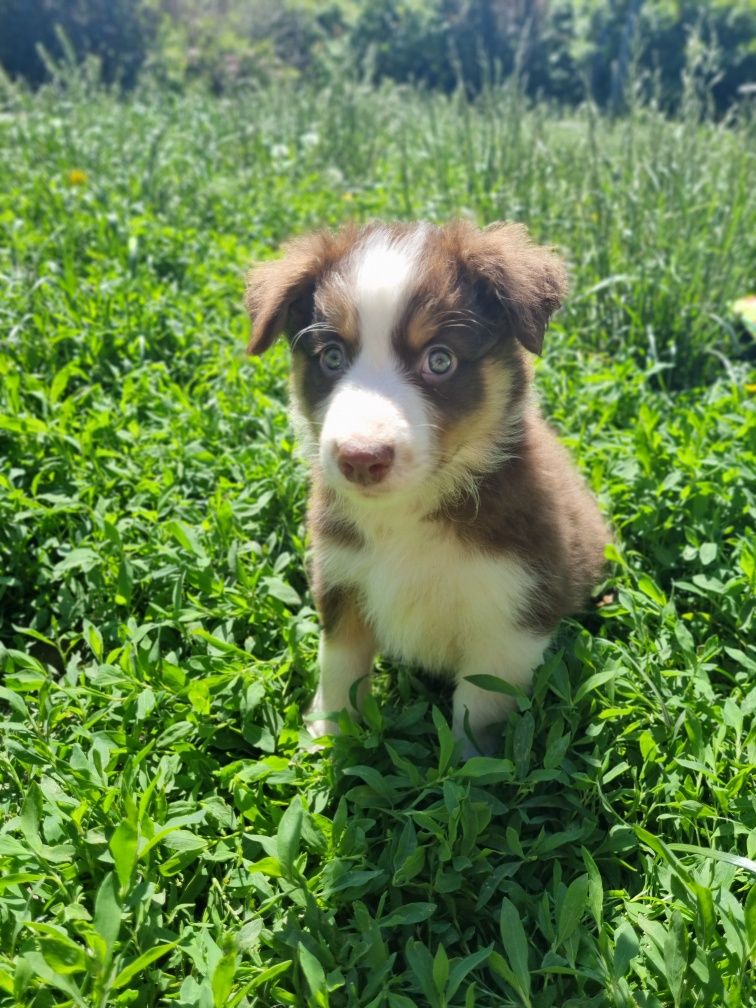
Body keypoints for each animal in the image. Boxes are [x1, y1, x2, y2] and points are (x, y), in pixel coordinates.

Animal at [245, 222, 612, 758]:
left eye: (440, 360)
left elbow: (478, 706)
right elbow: (339, 668)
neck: (409, 513)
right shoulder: (342, 577)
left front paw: (467, 769)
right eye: (332, 357)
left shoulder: (511, 616)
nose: (360, 458)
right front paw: (327, 739)